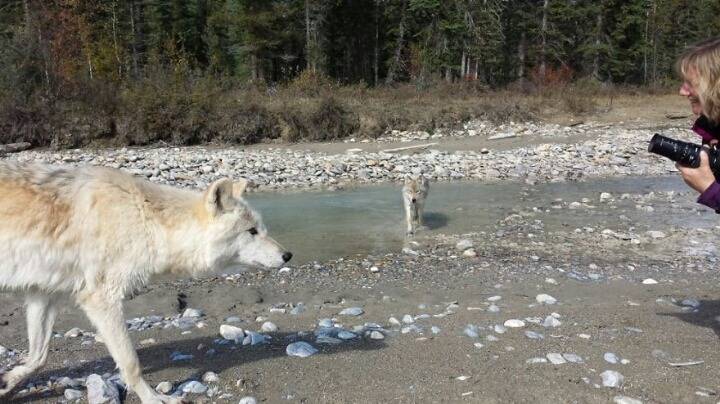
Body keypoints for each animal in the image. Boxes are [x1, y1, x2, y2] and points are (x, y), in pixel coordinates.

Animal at [0, 162, 292, 404]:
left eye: (262, 228)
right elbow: (131, 362)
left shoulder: (44, 295)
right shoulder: (102, 299)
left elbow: (38, 357)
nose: (288, 255)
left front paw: (6, 382)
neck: (146, 218)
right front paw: (153, 398)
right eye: (251, 231)